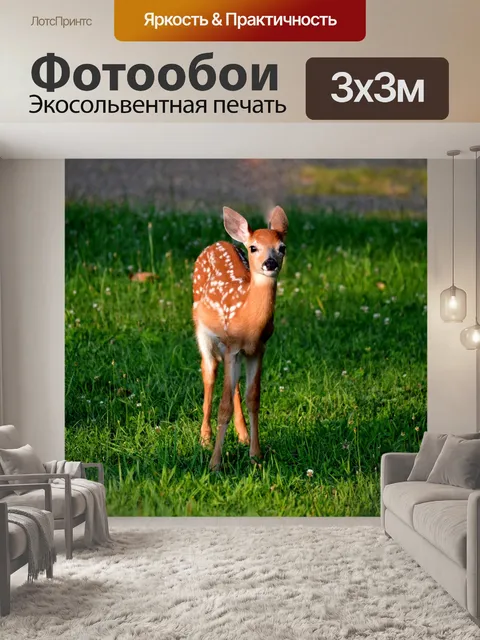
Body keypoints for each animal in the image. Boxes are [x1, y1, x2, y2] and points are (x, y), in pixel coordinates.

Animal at [192, 205, 289, 470]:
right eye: (253, 247)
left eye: (282, 247)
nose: (269, 263)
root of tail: (217, 243)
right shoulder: (233, 347)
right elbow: (223, 406)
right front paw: (215, 463)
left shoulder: (258, 349)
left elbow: (253, 398)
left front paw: (256, 455)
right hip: (201, 330)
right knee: (209, 371)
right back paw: (205, 437)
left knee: (232, 384)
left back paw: (242, 434)